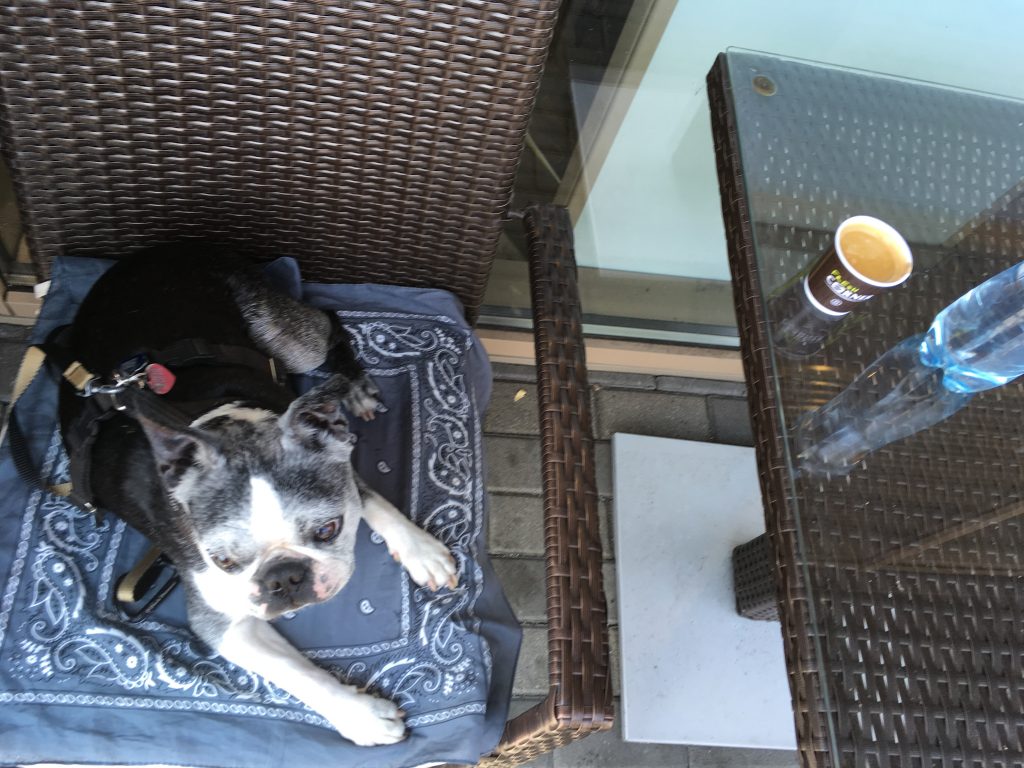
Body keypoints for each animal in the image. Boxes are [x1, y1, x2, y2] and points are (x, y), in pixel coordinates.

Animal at [54, 247, 458, 745]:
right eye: (222, 561)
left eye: (329, 530)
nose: (284, 577)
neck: (224, 430)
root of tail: (157, 253)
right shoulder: (221, 622)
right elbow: (296, 672)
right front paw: (362, 715)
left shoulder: (333, 459)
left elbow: (375, 502)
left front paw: (420, 551)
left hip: (287, 337)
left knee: (328, 324)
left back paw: (355, 388)